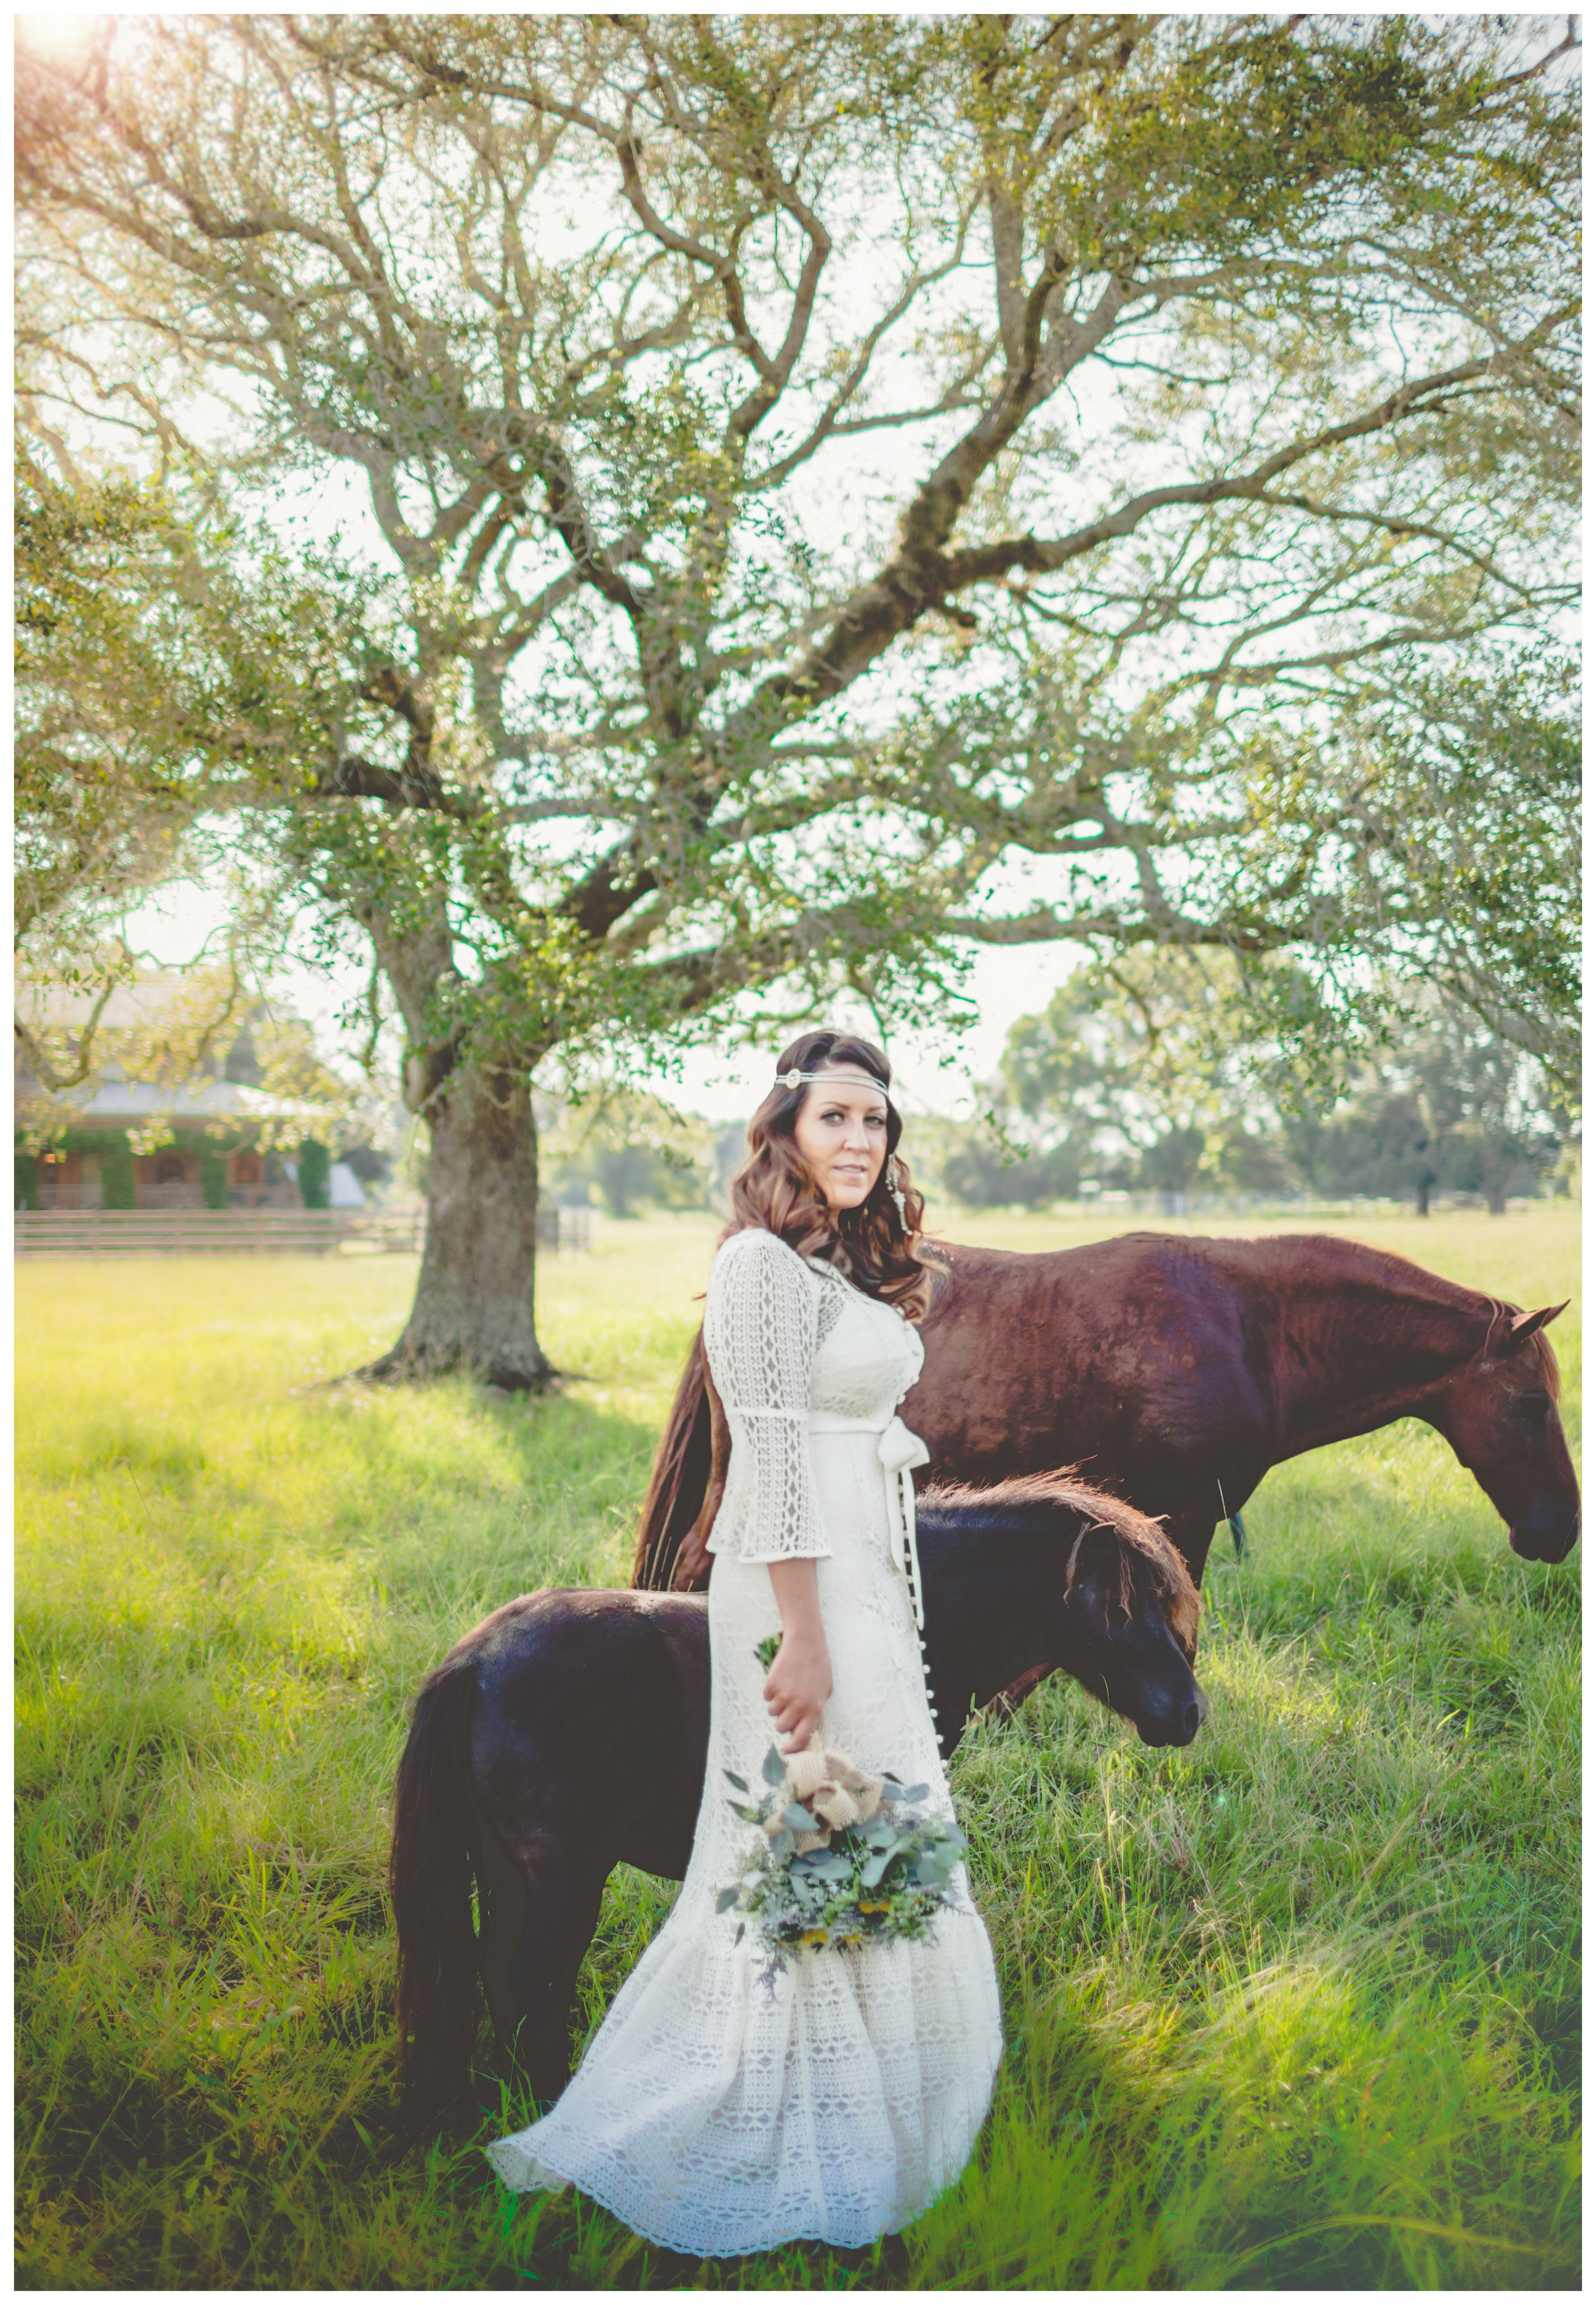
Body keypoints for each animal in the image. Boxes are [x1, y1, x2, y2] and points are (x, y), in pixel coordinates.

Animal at [397, 1466, 1199, 2111]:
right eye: (1119, 1610)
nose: (1189, 1711)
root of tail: (473, 1662)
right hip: (564, 1878)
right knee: (533, 1986)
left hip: (506, 1869)